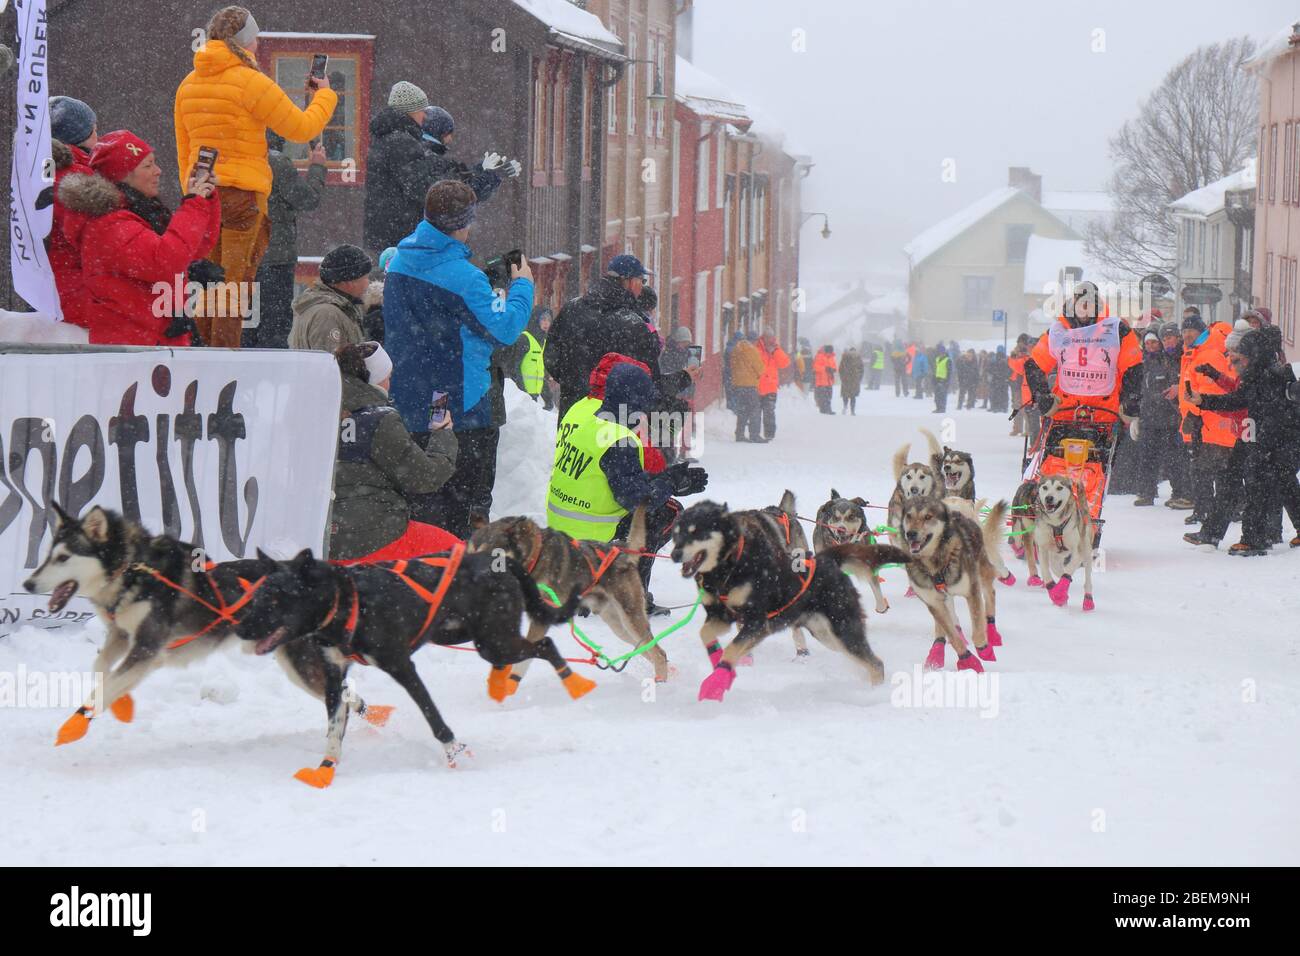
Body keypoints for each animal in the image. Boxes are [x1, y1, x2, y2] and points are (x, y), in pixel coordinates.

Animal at [20, 504, 387, 749]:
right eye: (49, 554)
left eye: (64, 558)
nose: (27, 583)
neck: (133, 571)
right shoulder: (121, 635)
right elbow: (100, 668)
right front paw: (122, 704)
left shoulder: (147, 648)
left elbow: (105, 688)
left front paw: (75, 725)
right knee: (347, 697)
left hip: (300, 665)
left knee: (339, 698)